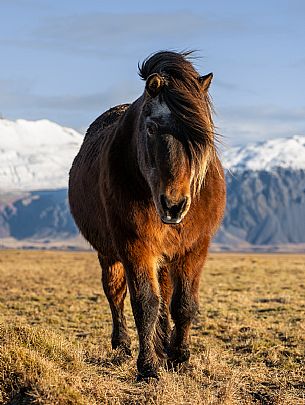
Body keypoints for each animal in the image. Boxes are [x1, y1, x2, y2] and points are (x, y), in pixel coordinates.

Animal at [69, 49, 226, 378]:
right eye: (152, 127)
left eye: (201, 133)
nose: (174, 205)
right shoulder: (135, 247)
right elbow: (145, 303)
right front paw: (149, 366)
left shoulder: (195, 247)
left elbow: (183, 304)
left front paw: (179, 356)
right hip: (109, 253)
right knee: (115, 294)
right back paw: (124, 345)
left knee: (166, 297)